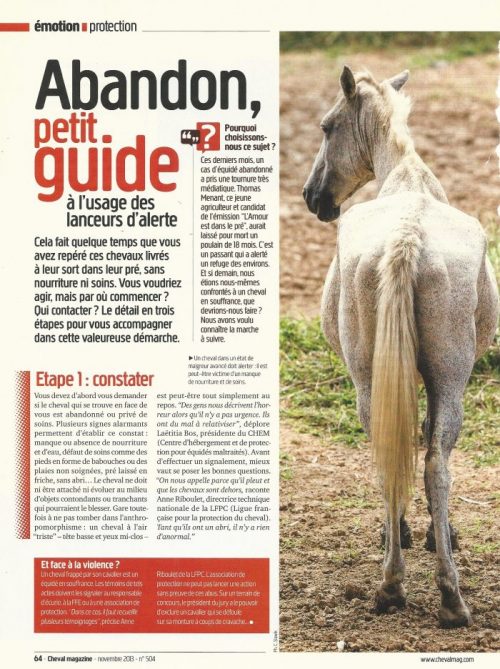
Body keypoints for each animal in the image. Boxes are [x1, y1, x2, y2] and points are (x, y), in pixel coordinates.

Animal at [303, 66, 499, 628]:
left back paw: (396, 584)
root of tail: (408, 236)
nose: (311, 197)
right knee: (434, 464)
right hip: (448, 380)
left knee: (399, 458)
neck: (409, 179)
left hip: (372, 382)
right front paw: (434, 534)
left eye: (327, 127)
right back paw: (443, 593)